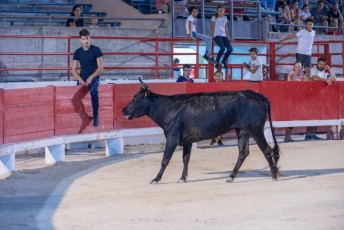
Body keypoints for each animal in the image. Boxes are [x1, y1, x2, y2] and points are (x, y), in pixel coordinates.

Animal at [122, 80, 280, 184]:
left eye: (136, 98)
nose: (124, 110)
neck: (168, 108)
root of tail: (260, 97)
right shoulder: (187, 141)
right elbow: (185, 159)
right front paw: (182, 178)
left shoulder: (172, 138)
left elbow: (165, 160)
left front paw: (156, 179)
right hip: (242, 131)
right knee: (243, 152)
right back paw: (231, 176)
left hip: (256, 129)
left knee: (266, 149)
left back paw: (273, 175)